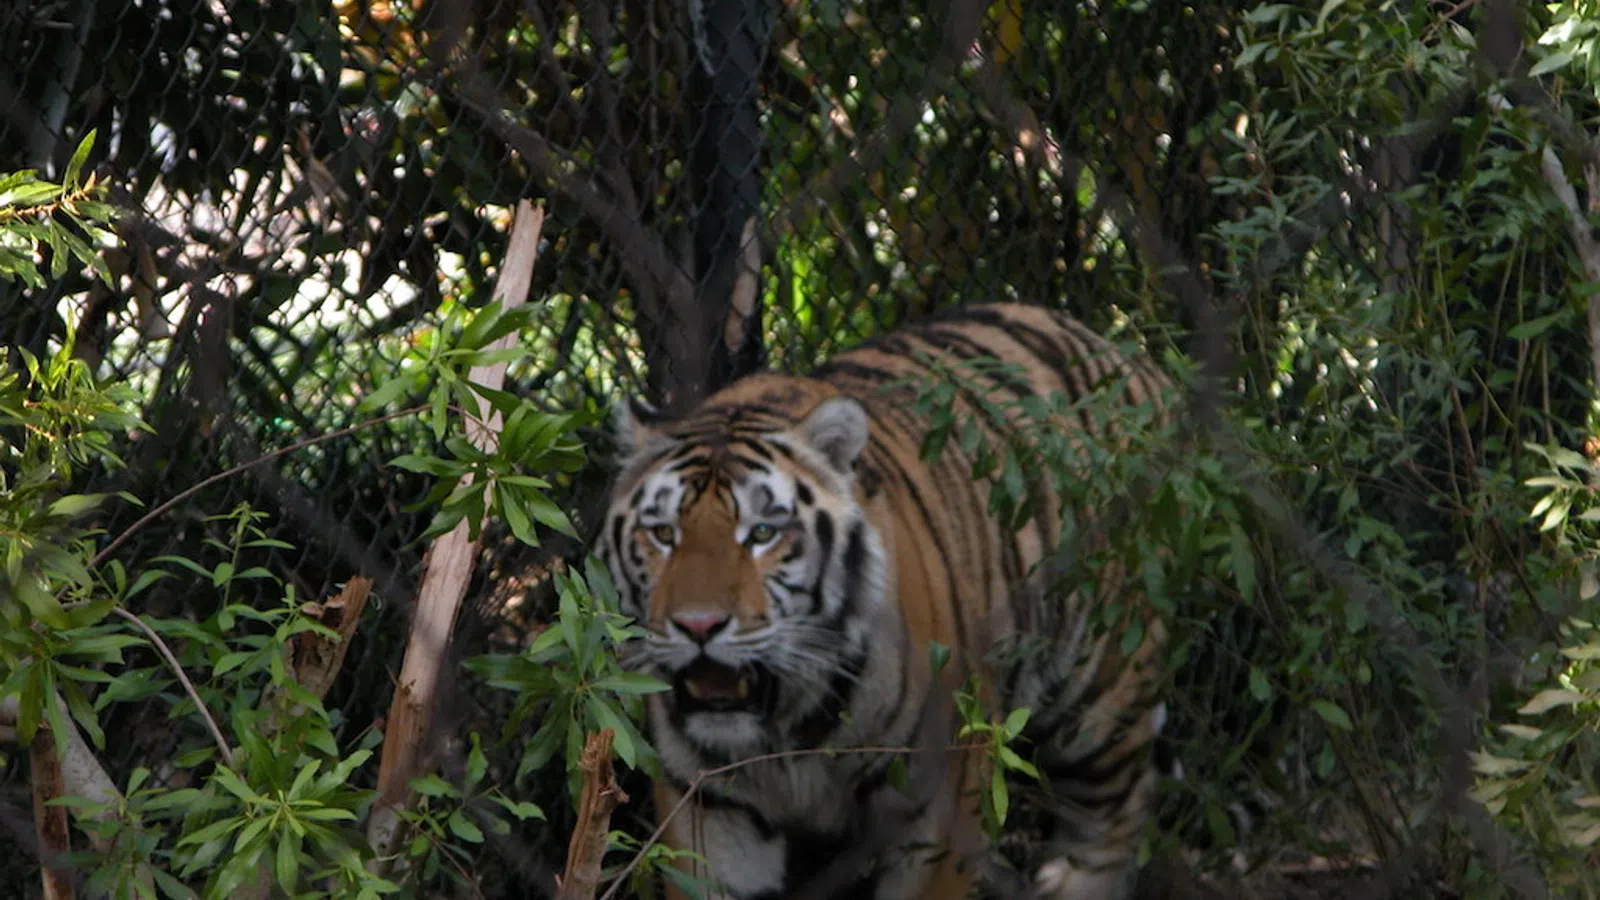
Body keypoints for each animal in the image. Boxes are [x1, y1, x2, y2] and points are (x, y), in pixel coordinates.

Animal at [594, 303, 1177, 900]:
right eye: (664, 534)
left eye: (761, 533)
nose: (699, 626)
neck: (789, 730)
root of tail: (1128, 355)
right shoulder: (708, 810)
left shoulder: (940, 807)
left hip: (1103, 693)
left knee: (1113, 816)